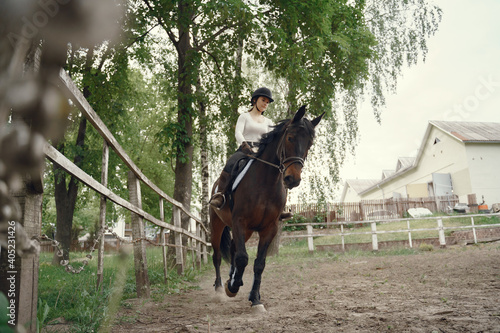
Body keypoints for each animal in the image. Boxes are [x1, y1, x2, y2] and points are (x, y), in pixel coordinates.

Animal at [208, 105, 322, 312]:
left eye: (309, 144)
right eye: (290, 137)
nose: (292, 179)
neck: (265, 183)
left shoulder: (269, 227)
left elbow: (258, 263)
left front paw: (255, 299)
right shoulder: (239, 221)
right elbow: (243, 258)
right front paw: (233, 287)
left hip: (245, 231)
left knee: (235, 248)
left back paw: (233, 280)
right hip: (217, 225)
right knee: (218, 256)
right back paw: (221, 289)